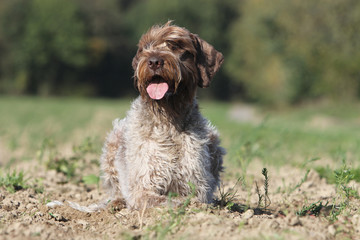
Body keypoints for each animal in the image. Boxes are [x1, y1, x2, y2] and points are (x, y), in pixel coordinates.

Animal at [100, 22, 225, 210]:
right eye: (146, 47)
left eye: (178, 46)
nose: (154, 61)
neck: (168, 118)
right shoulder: (143, 187)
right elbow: (165, 200)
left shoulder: (196, 185)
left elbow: (190, 198)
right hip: (113, 141)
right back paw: (116, 202)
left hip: (214, 142)